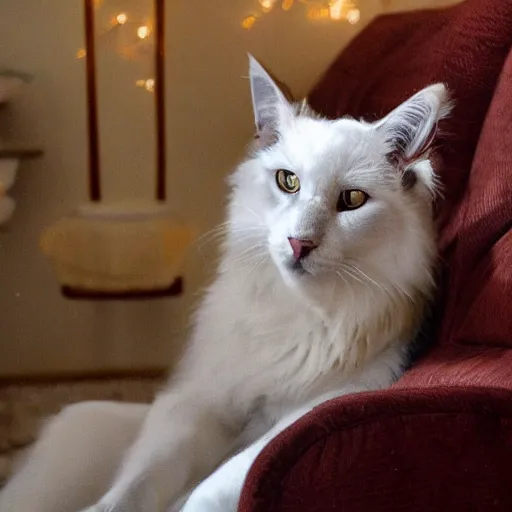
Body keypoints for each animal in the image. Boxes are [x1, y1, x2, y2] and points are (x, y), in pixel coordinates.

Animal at [0, 56, 448, 512]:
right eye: (288, 181)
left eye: (353, 200)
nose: (299, 243)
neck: (295, 310)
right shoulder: (198, 398)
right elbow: (138, 481)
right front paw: (107, 506)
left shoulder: (315, 409)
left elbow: (214, 486)